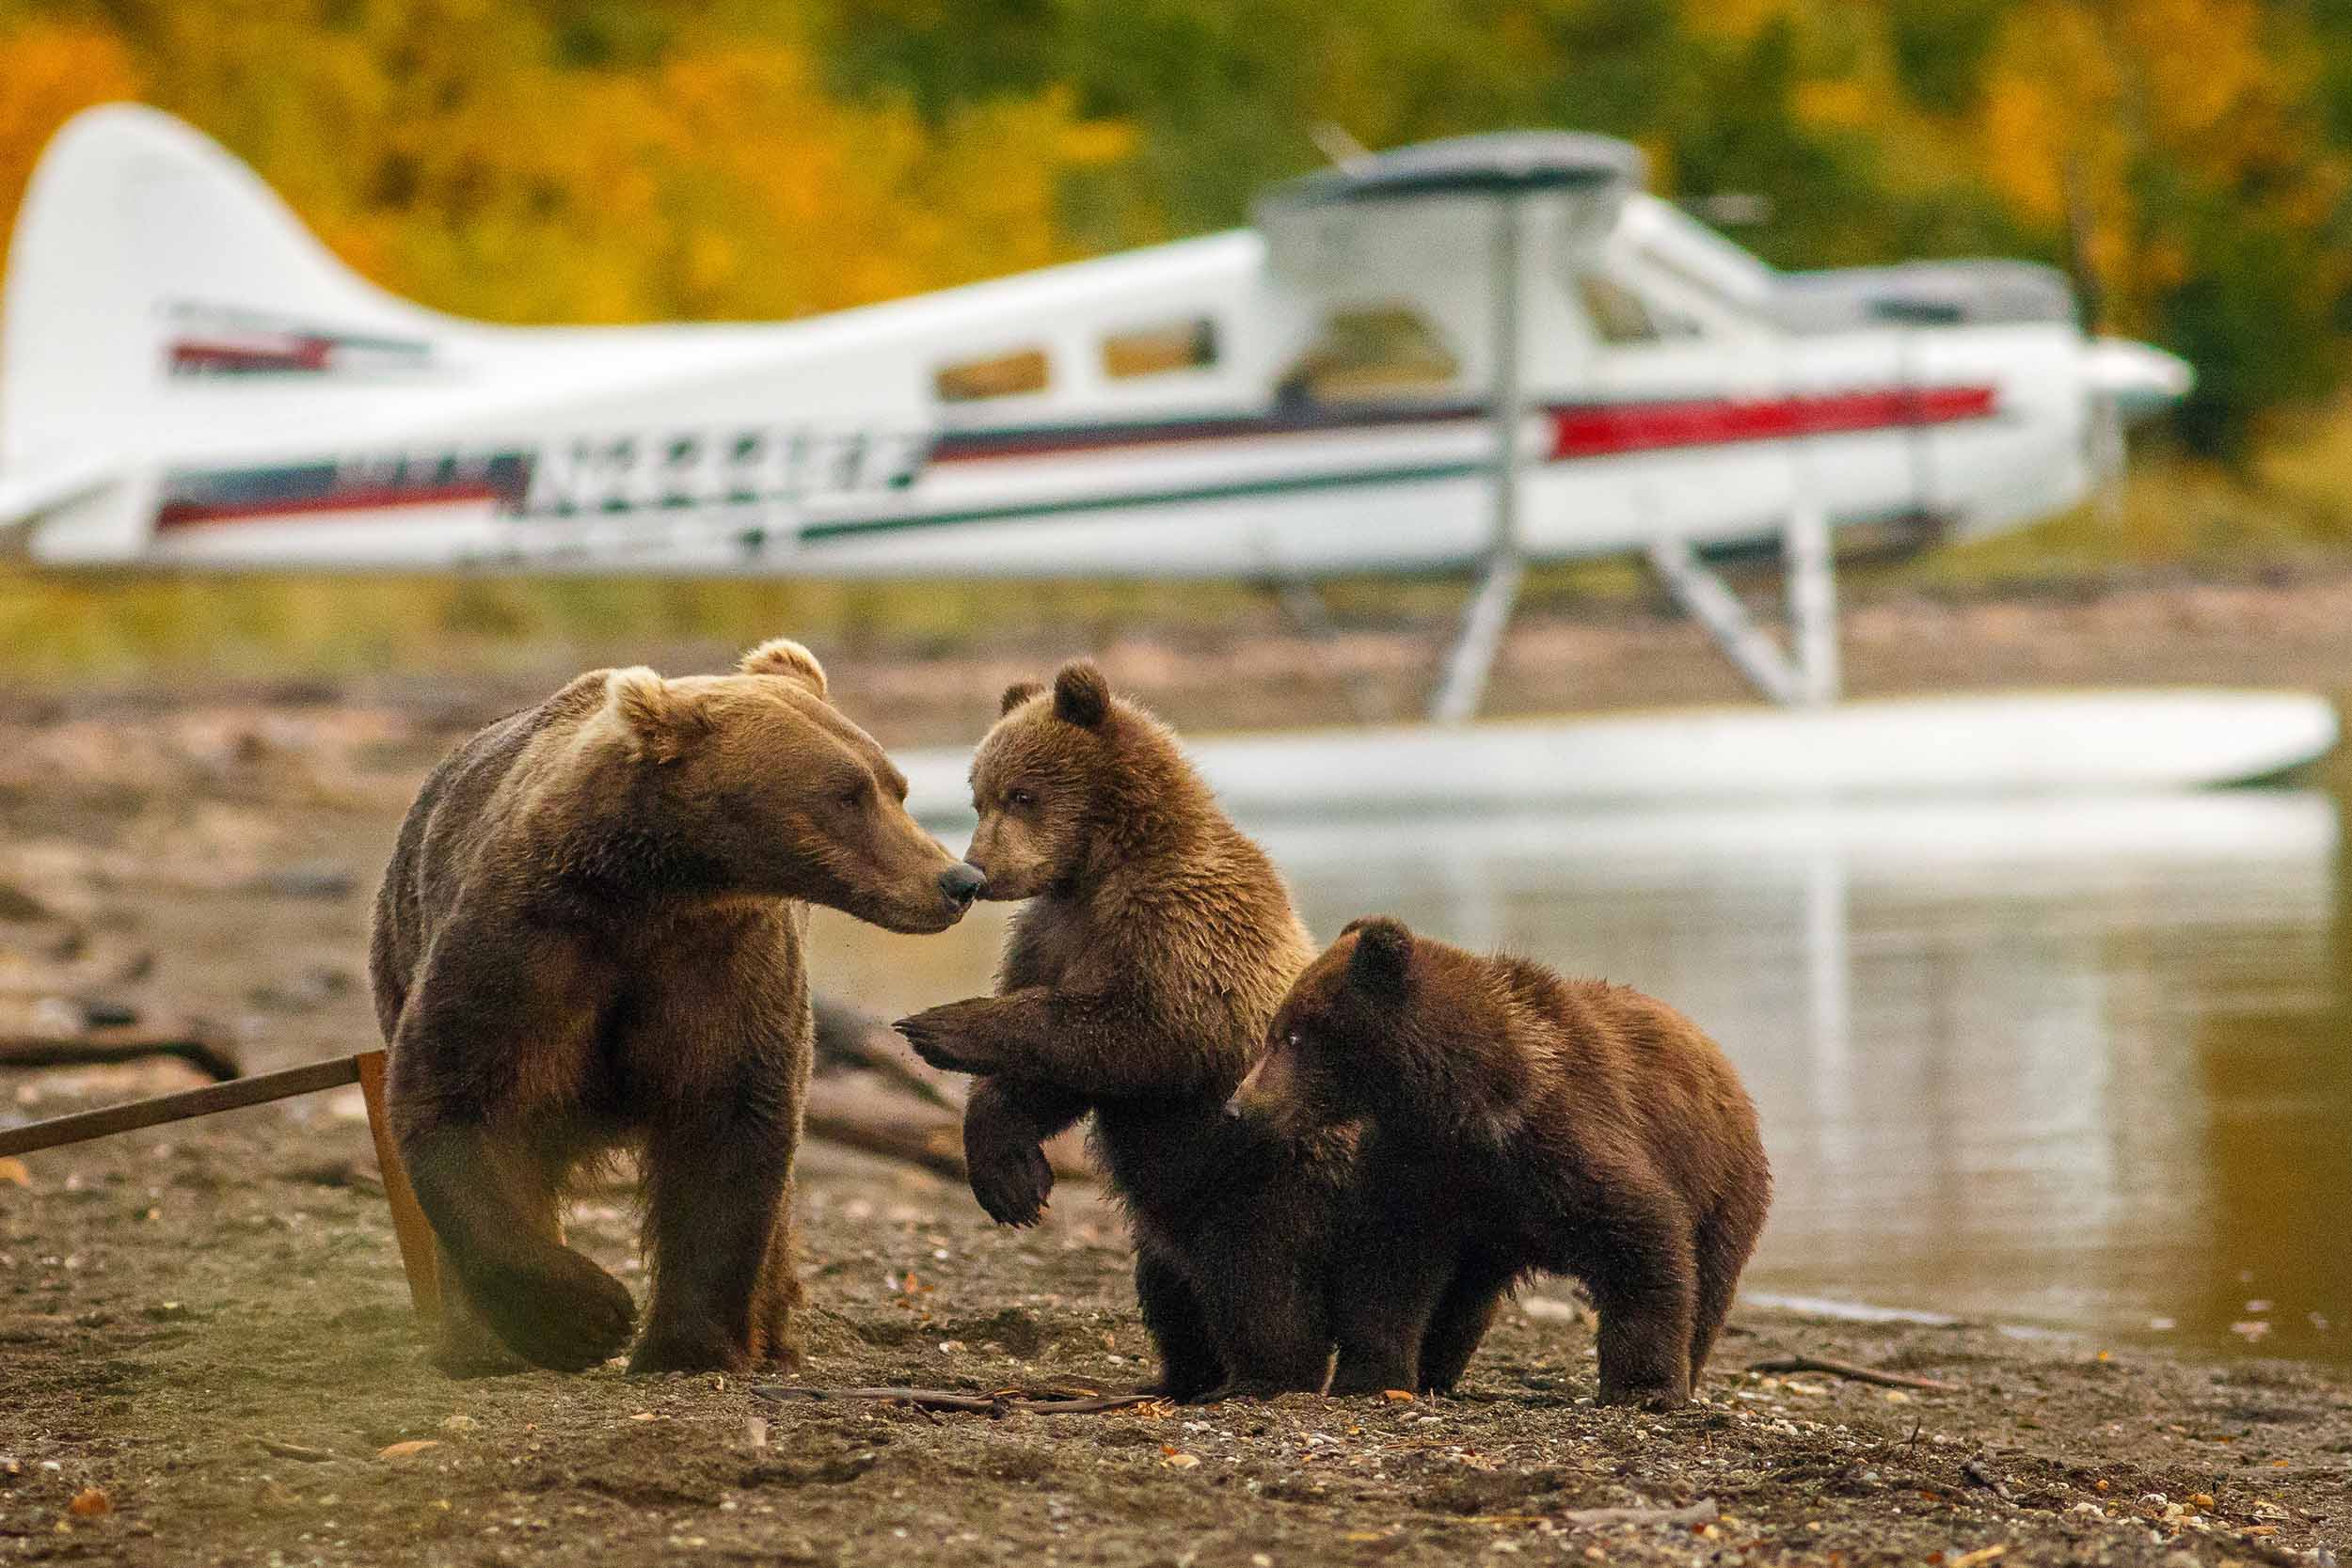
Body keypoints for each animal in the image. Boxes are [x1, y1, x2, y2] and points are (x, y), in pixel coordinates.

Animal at [369, 639, 985, 1377]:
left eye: (894, 784)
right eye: (847, 793)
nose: (958, 880)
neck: (656, 891)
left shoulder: (722, 965)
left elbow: (727, 1122)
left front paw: (688, 1344)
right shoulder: (524, 948)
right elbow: (458, 1099)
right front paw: (587, 1315)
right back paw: (476, 1341)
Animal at [892, 660, 1356, 1400]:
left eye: (1022, 793)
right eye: (979, 796)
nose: (979, 872)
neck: (1098, 870)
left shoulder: (1181, 926)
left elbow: (1147, 1035)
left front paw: (940, 1026)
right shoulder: (1052, 932)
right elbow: (1065, 1078)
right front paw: (1012, 1176)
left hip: (1264, 1184)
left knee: (1260, 1290)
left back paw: (1260, 1378)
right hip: (1171, 1223)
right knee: (1169, 1289)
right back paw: (1179, 1376)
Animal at [1227, 916, 1772, 1407]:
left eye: (1292, 1036)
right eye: (1276, 1031)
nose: (1238, 1107)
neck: (1463, 1101)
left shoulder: (1562, 1136)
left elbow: (1641, 1233)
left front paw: (1644, 1388)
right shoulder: (1424, 1166)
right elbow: (1387, 1266)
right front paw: (1370, 1375)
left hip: (1725, 1185)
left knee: (1711, 1277)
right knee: (1463, 1297)